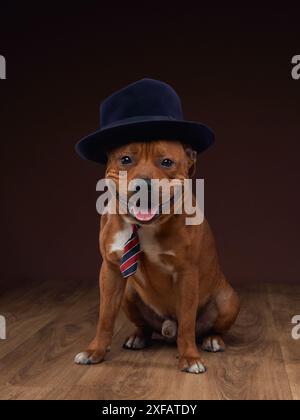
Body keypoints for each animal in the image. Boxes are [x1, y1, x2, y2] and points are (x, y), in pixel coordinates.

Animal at [74, 140, 239, 374]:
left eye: (167, 162)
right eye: (126, 159)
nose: (143, 185)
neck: (143, 227)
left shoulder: (186, 274)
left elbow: (186, 323)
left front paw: (190, 357)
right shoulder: (110, 271)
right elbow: (105, 317)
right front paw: (94, 351)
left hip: (228, 300)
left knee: (208, 328)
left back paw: (213, 340)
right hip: (128, 295)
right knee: (144, 326)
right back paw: (138, 337)